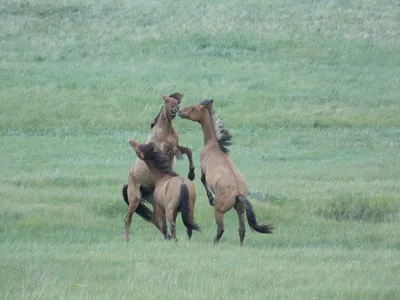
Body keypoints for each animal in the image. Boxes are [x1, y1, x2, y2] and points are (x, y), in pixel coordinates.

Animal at [122, 92, 196, 240]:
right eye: (167, 101)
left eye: (177, 101)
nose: (175, 109)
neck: (165, 130)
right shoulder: (162, 149)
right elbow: (172, 151)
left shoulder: (176, 146)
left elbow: (188, 151)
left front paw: (191, 174)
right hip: (134, 199)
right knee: (128, 219)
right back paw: (127, 239)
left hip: (155, 202)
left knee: (157, 220)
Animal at [179, 99, 276, 245]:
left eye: (193, 108)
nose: (179, 111)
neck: (213, 146)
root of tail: (237, 193)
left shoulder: (203, 168)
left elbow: (202, 180)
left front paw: (210, 198)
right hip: (240, 211)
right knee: (242, 230)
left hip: (219, 211)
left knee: (221, 229)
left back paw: (214, 243)